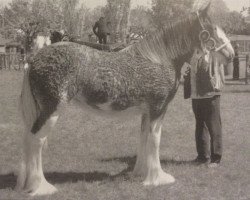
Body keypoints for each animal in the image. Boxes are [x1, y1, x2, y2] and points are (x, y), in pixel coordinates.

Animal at [15, 3, 234, 197]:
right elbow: (155, 140)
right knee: (36, 141)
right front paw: (157, 178)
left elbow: (143, 137)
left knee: (29, 140)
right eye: (212, 29)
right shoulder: (157, 108)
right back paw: (41, 187)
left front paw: (141, 173)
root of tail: (34, 59)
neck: (159, 59)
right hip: (51, 110)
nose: (231, 54)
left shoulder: (147, 112)